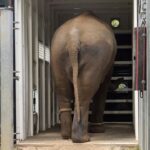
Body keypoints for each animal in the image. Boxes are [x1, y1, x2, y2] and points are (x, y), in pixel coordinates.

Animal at [51, 11, 116, 142]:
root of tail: (73, 38)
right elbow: (103, 86)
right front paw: (99, 130)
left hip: (57, 53)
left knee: (62, 89)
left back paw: (66, 136)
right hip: (95, 56)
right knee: (85, 91)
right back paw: (83, 139)